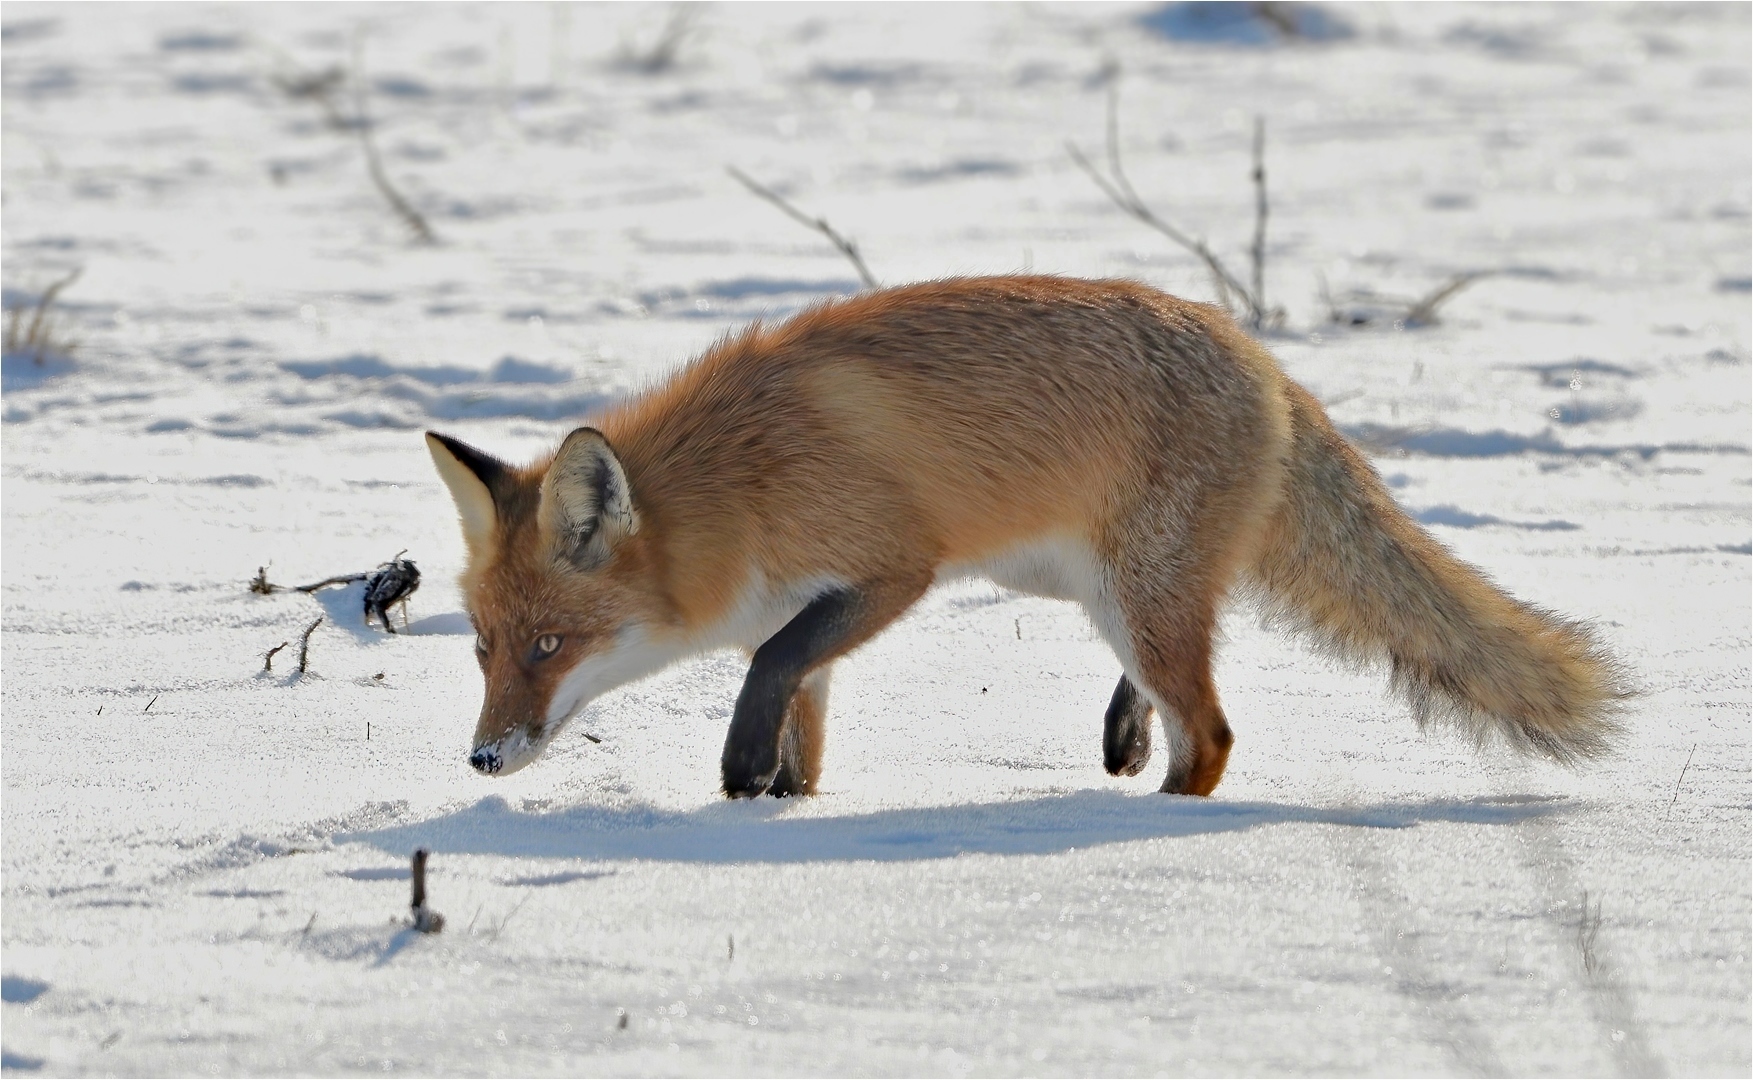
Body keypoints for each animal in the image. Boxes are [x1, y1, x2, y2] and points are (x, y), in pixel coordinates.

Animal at [427, 277, 1626, 802]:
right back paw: (1127, 734)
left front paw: (738, 771)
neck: (743, 483)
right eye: (482, 649)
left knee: (1213, 733)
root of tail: (1258, 354)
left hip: (1128, 591)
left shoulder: (892, 570)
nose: (482, 759)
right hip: (1089, 588)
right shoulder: (815, 614)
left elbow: (767, 665)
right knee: (1183, 679)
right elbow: (799, 718)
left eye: (550, 648)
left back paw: (1155, 816)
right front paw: (780, 803)